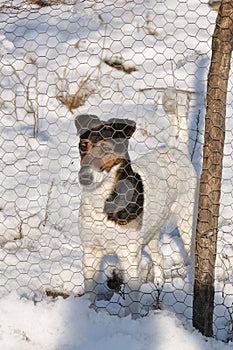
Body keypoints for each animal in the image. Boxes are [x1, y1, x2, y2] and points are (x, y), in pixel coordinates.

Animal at [74, 89, 197, 318]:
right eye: (83, 146)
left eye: (106, 149)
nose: (84, 177)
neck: (104, 199)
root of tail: (175, 149)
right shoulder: (91, 253)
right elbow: (90, 296)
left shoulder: (129, 258)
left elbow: (131, 304)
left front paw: (131, 321)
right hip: (150, 233)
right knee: (158, 256)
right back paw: (158, 283)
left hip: (186, 222)